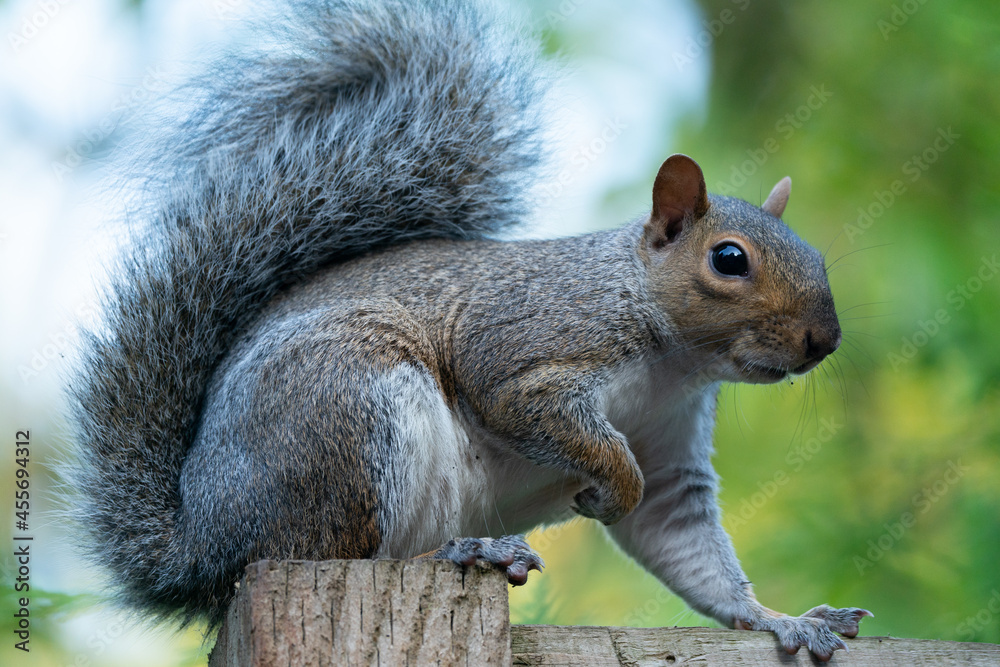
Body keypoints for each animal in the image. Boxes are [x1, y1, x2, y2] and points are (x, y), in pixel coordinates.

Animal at [67, 0, 871, 661]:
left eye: (817, 256)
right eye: (729, 259)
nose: (823, 341)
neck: (672, 361)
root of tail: (201, 543)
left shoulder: (673, 447)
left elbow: (682, 536)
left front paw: (780, 619)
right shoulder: (527, 347)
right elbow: (544, 416)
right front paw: (607, 486)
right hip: (343, 413)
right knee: (331, 555)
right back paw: (465, 554)